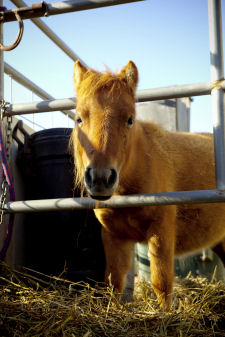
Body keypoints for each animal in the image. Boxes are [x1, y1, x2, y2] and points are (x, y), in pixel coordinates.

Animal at [70, 59, 225, 308]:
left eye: (130, 119)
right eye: (79, 118)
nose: (101, 179)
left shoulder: (161, 232)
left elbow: (161, 283)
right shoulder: (114, 236)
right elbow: (114, 281)